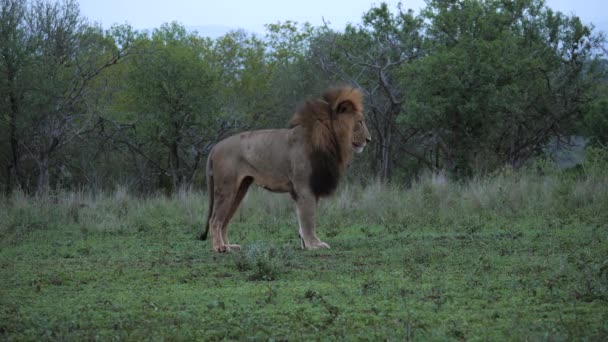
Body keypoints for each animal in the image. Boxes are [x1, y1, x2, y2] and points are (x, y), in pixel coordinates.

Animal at [200, 85, 370, 251]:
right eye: (360, 122)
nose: (369, 139)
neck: (331, 138)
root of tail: (214, 147)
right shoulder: (305, 187)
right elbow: (308, 219)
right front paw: (314, 244)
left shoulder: (309, 187)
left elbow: (302, 220)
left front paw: (305, 244)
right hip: (226, 188)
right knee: (215, 220)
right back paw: (219, 247)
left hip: (239, 189)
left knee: (224, 221)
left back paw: (229, 246)